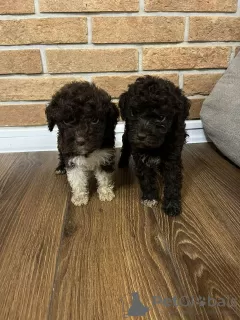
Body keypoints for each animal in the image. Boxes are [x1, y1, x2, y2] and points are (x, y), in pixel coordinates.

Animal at [118, 76, 189, 216]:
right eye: (134, 112)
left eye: (161, 117)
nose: (141, 136)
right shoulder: (140, 155)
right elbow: (145, 176)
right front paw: (150, 197)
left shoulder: (173, 156)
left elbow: (172, 179)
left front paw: (172, 205)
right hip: (128, 134)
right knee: (125, 144)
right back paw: (122, 162)